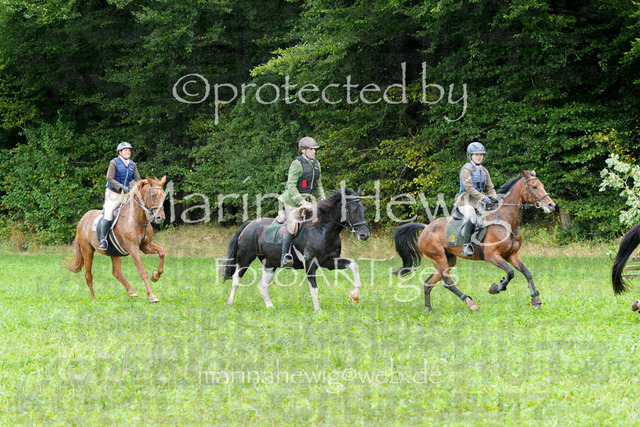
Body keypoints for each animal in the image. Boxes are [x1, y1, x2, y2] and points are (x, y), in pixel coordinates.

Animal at [222, 188, 370, 310]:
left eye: (363, 209)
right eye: (352, 209)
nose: (364, 235)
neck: (322, 231)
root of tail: (250, 224)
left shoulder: (330, 261)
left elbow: (354, 265)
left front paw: (354, 295)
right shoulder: (310, 263)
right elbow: (314, 288)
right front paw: (318, 310)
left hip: (269, 264)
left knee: (262, 286)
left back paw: (270, 307)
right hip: (245, 259)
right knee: (236, 279)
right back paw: (230, 303)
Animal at [393, 170, 556, 311]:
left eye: (542, 185)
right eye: (534, 186)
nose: (551, 205)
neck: (506, 221)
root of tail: (426, 227)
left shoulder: (512, 255)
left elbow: (527, 273)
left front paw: (536, 300)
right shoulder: (492, 256)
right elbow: (510, 273)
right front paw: (496, 288)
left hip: (448, 259)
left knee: (429, 283)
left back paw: (428, 307)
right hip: (438, 257)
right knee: (448, 282)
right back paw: (470, 302)